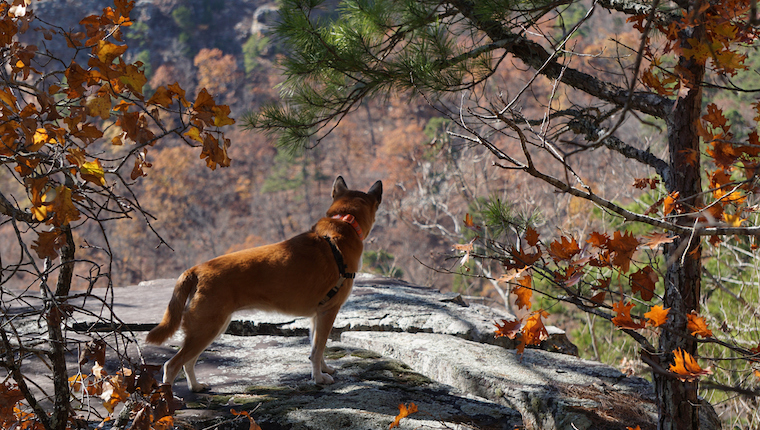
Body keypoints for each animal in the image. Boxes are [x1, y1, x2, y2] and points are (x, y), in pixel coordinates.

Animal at [146, 176, 382, 392]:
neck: (344, 223)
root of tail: (196, 270)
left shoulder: (317, 316)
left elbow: (317, 348)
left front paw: (323, 369)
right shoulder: (328, 311)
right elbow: (317, 350)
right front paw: (319, 379)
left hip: (211, 328)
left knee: (188, 361)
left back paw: (196, 386)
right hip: (206, 328)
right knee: (172, 365)